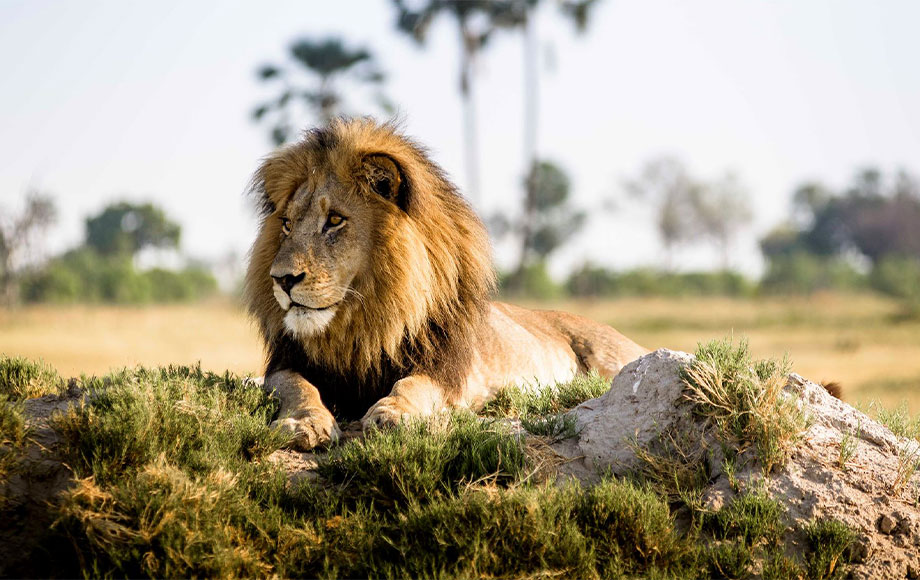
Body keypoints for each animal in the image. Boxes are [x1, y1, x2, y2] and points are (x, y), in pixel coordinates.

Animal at [244, 118, 648, 450]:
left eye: (335, 220)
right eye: (287, 225)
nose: (282, 279)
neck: (362, 325)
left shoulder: (446, 371)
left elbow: (412, 385)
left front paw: (393, 414)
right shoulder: (284, 363)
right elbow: (297, 387)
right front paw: (304, 423)